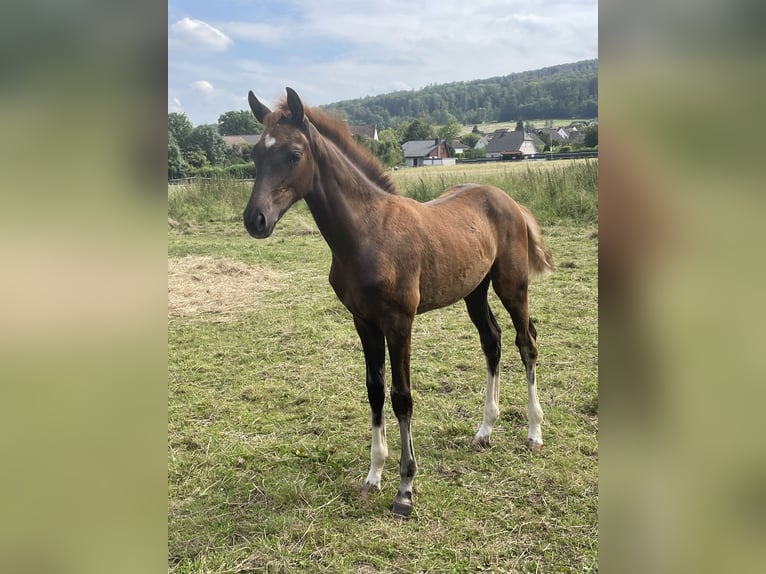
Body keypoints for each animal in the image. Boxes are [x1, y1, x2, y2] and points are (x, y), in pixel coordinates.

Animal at [243, 88, 556, 520]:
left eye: (293, 153)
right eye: (256, 153)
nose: (254, 219)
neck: (367, 233)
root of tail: (509, 201)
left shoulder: (399, 321)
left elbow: (401, 396)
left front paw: (405, 489)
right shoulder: (363, 321)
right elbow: (375, 391)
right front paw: (373, 476)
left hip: (512, 286)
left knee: (526, 343)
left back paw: (534, 432)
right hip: (474, 291)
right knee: (491, 342)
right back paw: (484, 430)